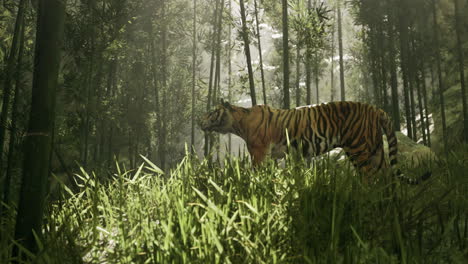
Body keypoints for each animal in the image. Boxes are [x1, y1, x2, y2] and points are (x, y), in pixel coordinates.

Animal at [200, 99, 432, 184]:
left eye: (212, 112)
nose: (200, 121)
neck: (238, 123)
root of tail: (375, 108)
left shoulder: (258, 152)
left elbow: (256, 173)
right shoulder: (277, 155)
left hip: (360, 149)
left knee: (371, 178)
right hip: (375, 150)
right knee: (386, 177)